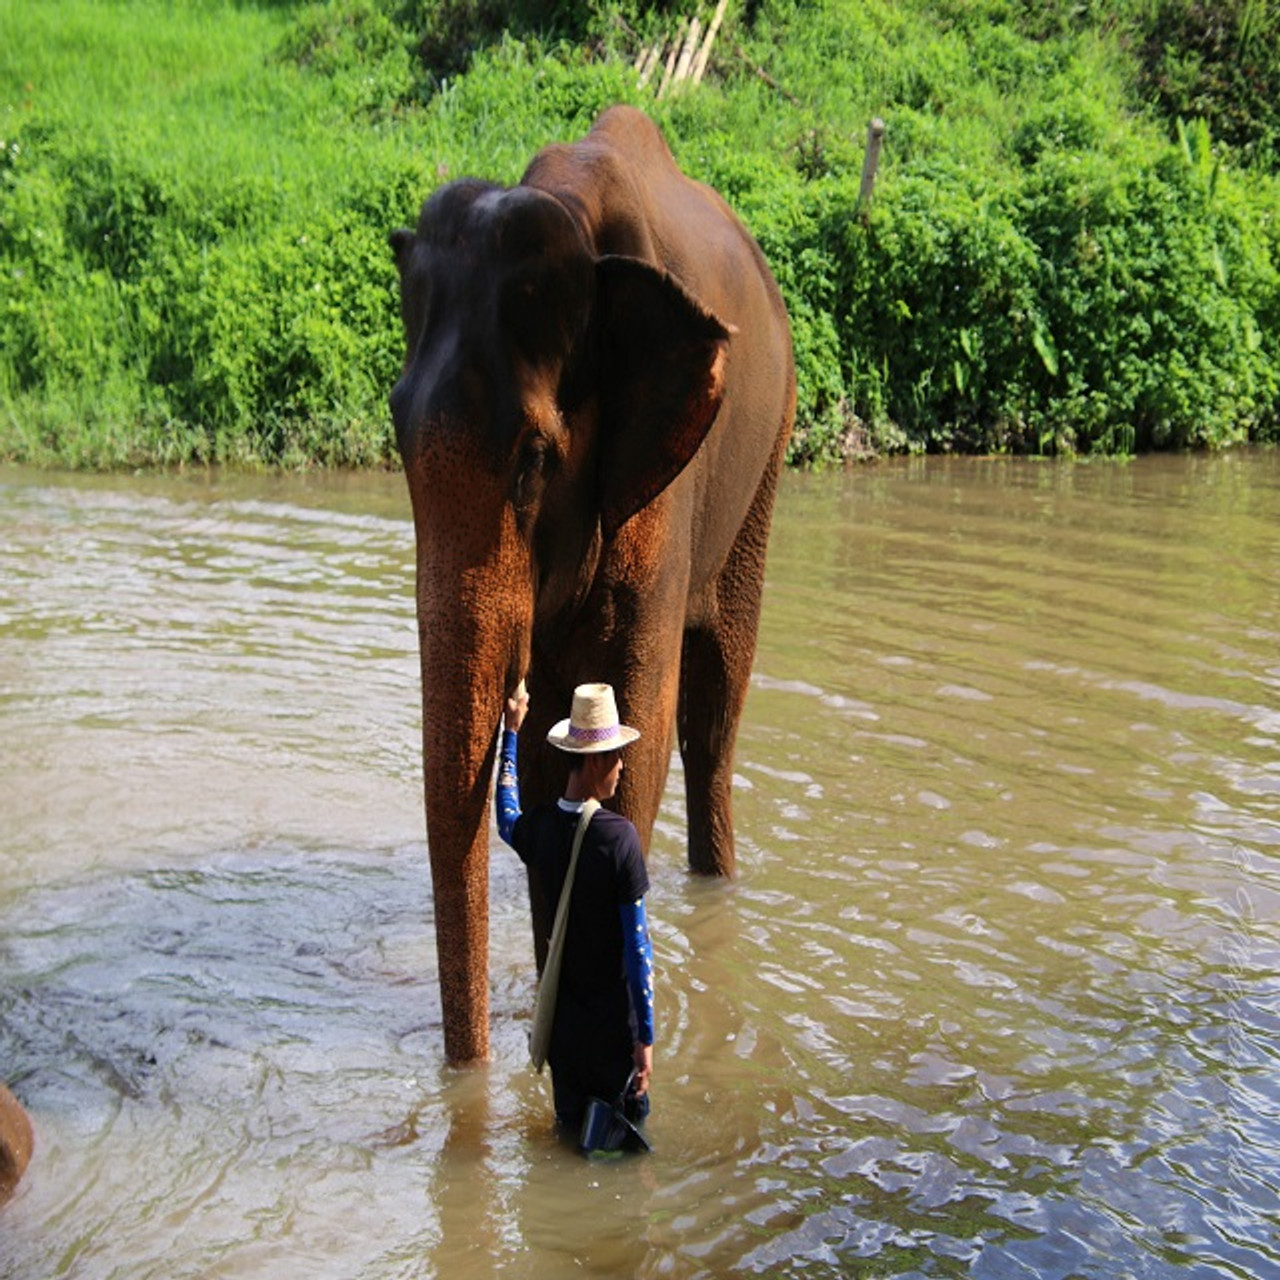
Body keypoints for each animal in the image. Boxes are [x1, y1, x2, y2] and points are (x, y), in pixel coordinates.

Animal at [384, 104, 793, 1064]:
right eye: (395, 431)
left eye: (534, 460)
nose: (469, 1068)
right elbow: (546, 774)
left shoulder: (661, 483)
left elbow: (634, 738)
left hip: (766, 460)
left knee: (713, 710)